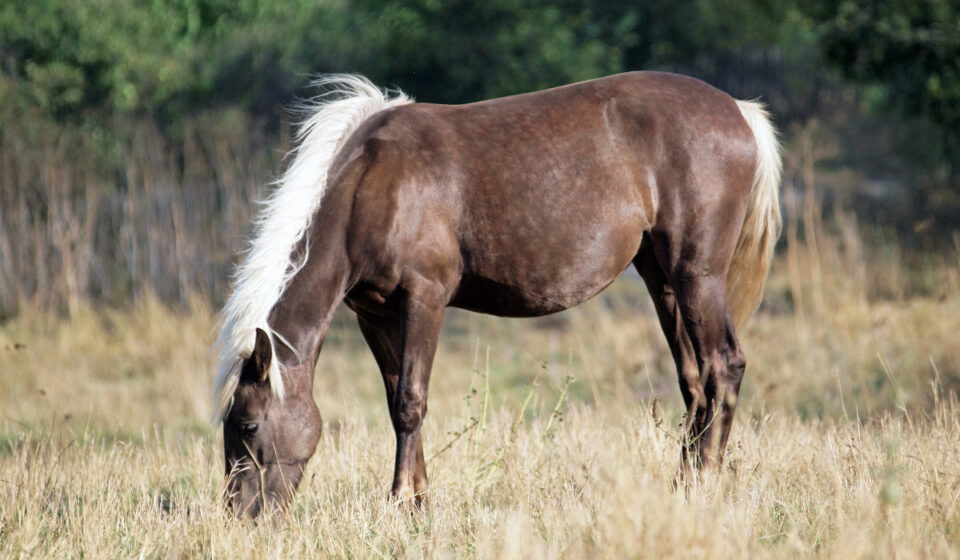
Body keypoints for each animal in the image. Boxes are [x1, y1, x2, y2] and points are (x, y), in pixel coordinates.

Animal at [213, 71, 782, 518]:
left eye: (248, 424)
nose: (240, 516)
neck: (372, 184)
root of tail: (740, 110)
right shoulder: (373, 316)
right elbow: (395, 398)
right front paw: (419, 501)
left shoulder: (424, 299)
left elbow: (410, 402)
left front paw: (400, 504)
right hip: (662, 281)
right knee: (695, 382)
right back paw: (680, 484)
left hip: (697, 275)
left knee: (724, 365)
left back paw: (704, 482)